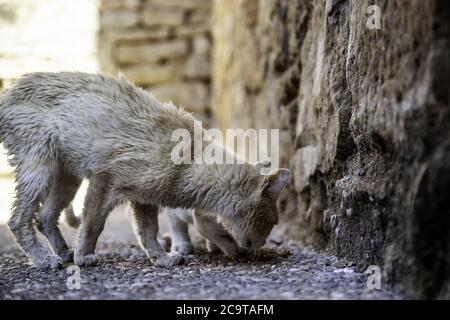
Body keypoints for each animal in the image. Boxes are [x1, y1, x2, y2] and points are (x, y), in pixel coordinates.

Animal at [0, 72, 290, 268]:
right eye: (273, 222)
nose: (262, 246)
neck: (191, 161)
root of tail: (10, 92)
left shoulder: (144, 199)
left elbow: (148, 233)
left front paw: (161, 259)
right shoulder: (104, 181)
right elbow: (93, 225)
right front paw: (85, 256)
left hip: (65, 177)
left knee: (45, 217)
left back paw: (63, 253)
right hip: (40, 168)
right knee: (18, 220)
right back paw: (45, 260)